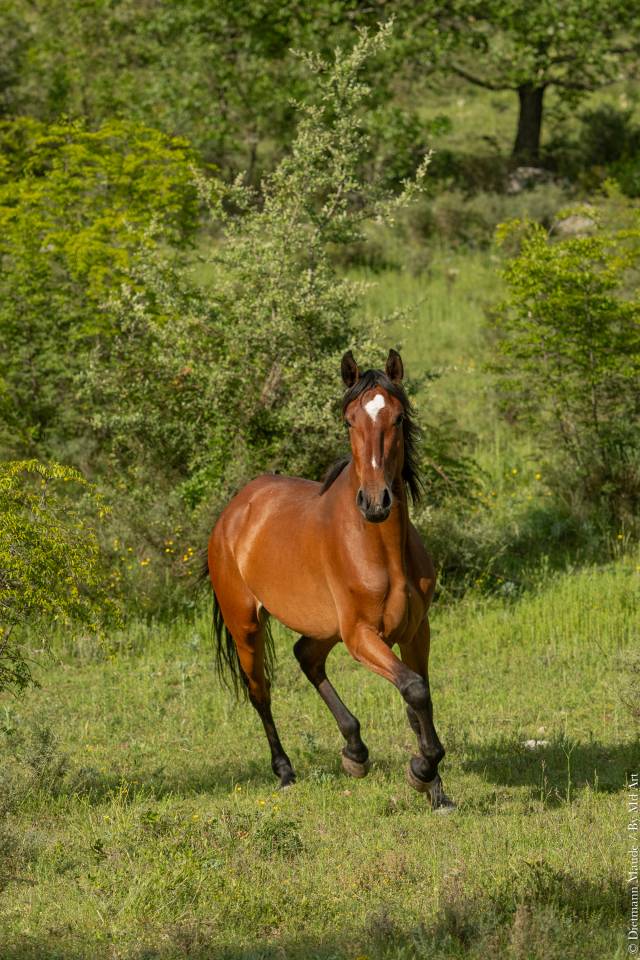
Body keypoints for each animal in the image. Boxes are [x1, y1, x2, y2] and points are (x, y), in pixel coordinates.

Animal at [207, 349, 454, 812]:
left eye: (398, 418)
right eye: (348, 421)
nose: (375, 502)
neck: (380, 550)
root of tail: (234, 511)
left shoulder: (415, 631)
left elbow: (418, 700)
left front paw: (436, 791)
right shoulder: (362, 636)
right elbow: (414, 690)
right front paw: (421, 771)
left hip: (324, 627)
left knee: (306, 656)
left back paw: (355, 752)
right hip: (246, 625)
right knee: (260, 692)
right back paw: (285, 772)